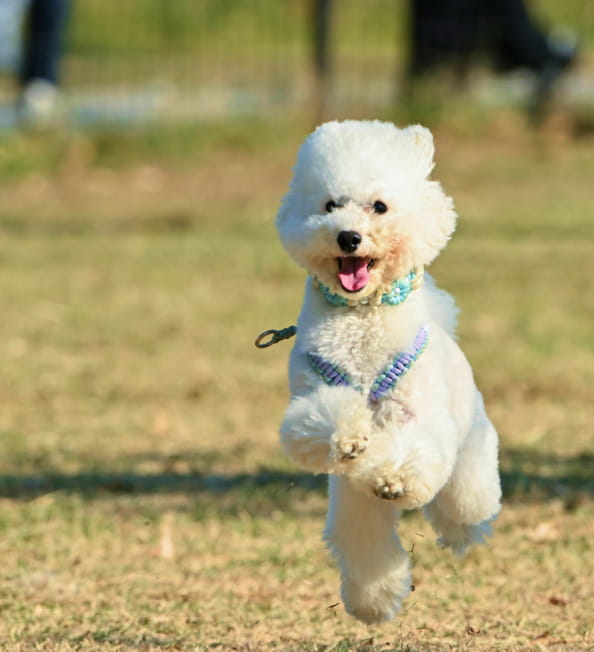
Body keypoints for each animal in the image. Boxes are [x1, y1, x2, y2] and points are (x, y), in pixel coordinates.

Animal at [272, 119, 500, 624]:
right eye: (329, 205)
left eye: (379, 206)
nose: (348, 237)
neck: (362, 316)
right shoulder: (310, 399)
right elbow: (323, 422)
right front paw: (349, 438)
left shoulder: (415, 414)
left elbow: (408, 451)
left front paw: (393, 477)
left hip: (470, 447)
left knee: (465, 501)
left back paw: (462, 529)